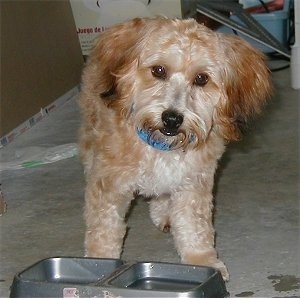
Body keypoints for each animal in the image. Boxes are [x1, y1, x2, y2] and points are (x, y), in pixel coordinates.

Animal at [78, 18, 272, 280]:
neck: (161, 146)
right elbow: (103, 231)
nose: (171, 119)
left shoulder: (192, 185)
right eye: (158, 70)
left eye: (201, 78)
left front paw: (202, 261)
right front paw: (99, 265)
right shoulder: (109, 187)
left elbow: (194, 229)